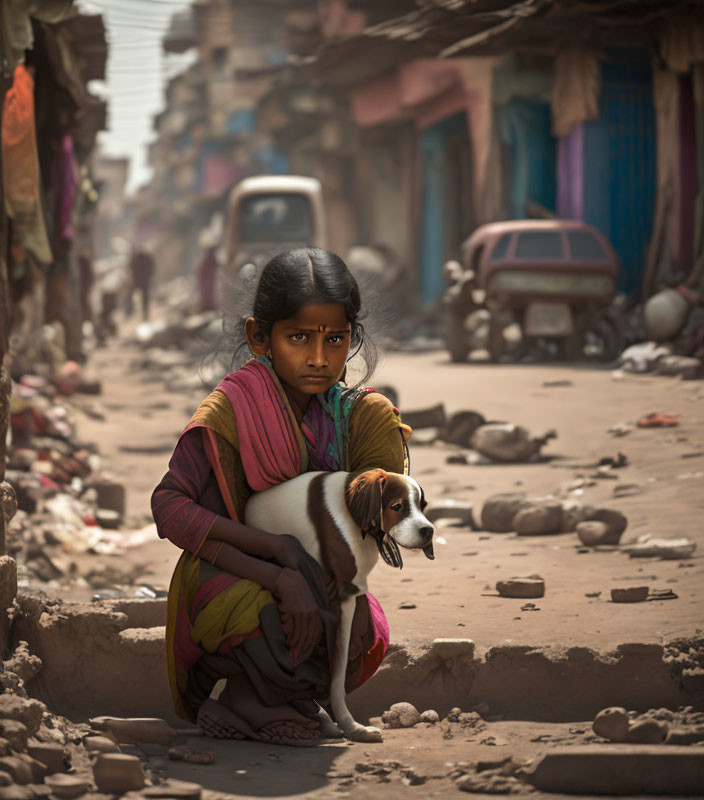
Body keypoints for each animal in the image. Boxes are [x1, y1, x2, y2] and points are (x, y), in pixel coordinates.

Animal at [246, 468, 434, 744]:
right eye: (397, 506)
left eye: (423, 505)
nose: (429, 531)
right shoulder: (336, 599)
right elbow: (336, 668)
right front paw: (345, 723)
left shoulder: (348, 597)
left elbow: (338, 665)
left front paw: (343, 723)